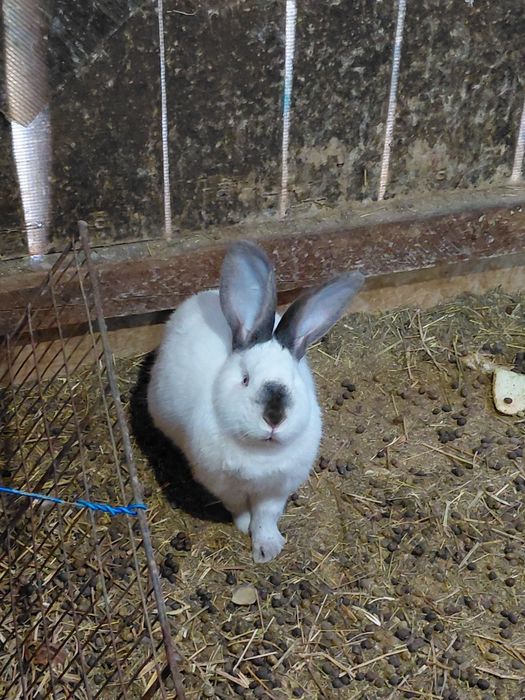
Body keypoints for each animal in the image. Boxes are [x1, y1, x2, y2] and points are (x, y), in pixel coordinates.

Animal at [147, 240, 364, 563]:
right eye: (245, 379)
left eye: (294, 381)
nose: (274, 418)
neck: (261, 454)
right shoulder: (224, 484)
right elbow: (239, 508)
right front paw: (244, 526)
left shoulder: (276, 489)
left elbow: (266, 516)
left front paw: (267, 548)